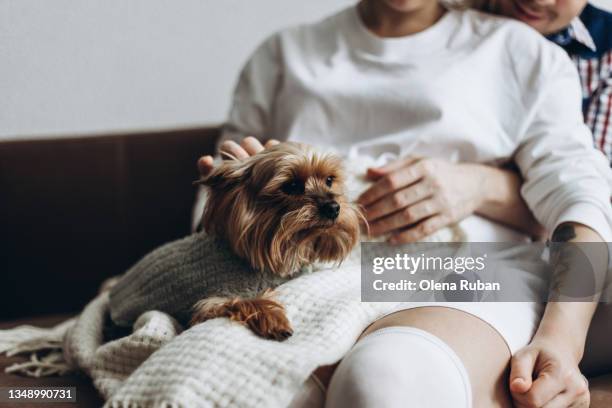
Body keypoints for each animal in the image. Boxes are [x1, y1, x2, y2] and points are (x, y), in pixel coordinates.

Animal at [189, 142, 360, 340]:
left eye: (330, 180)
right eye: (292, 186)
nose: (333, 208)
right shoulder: (210, 302)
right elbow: (242, 301)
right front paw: (274, 319)